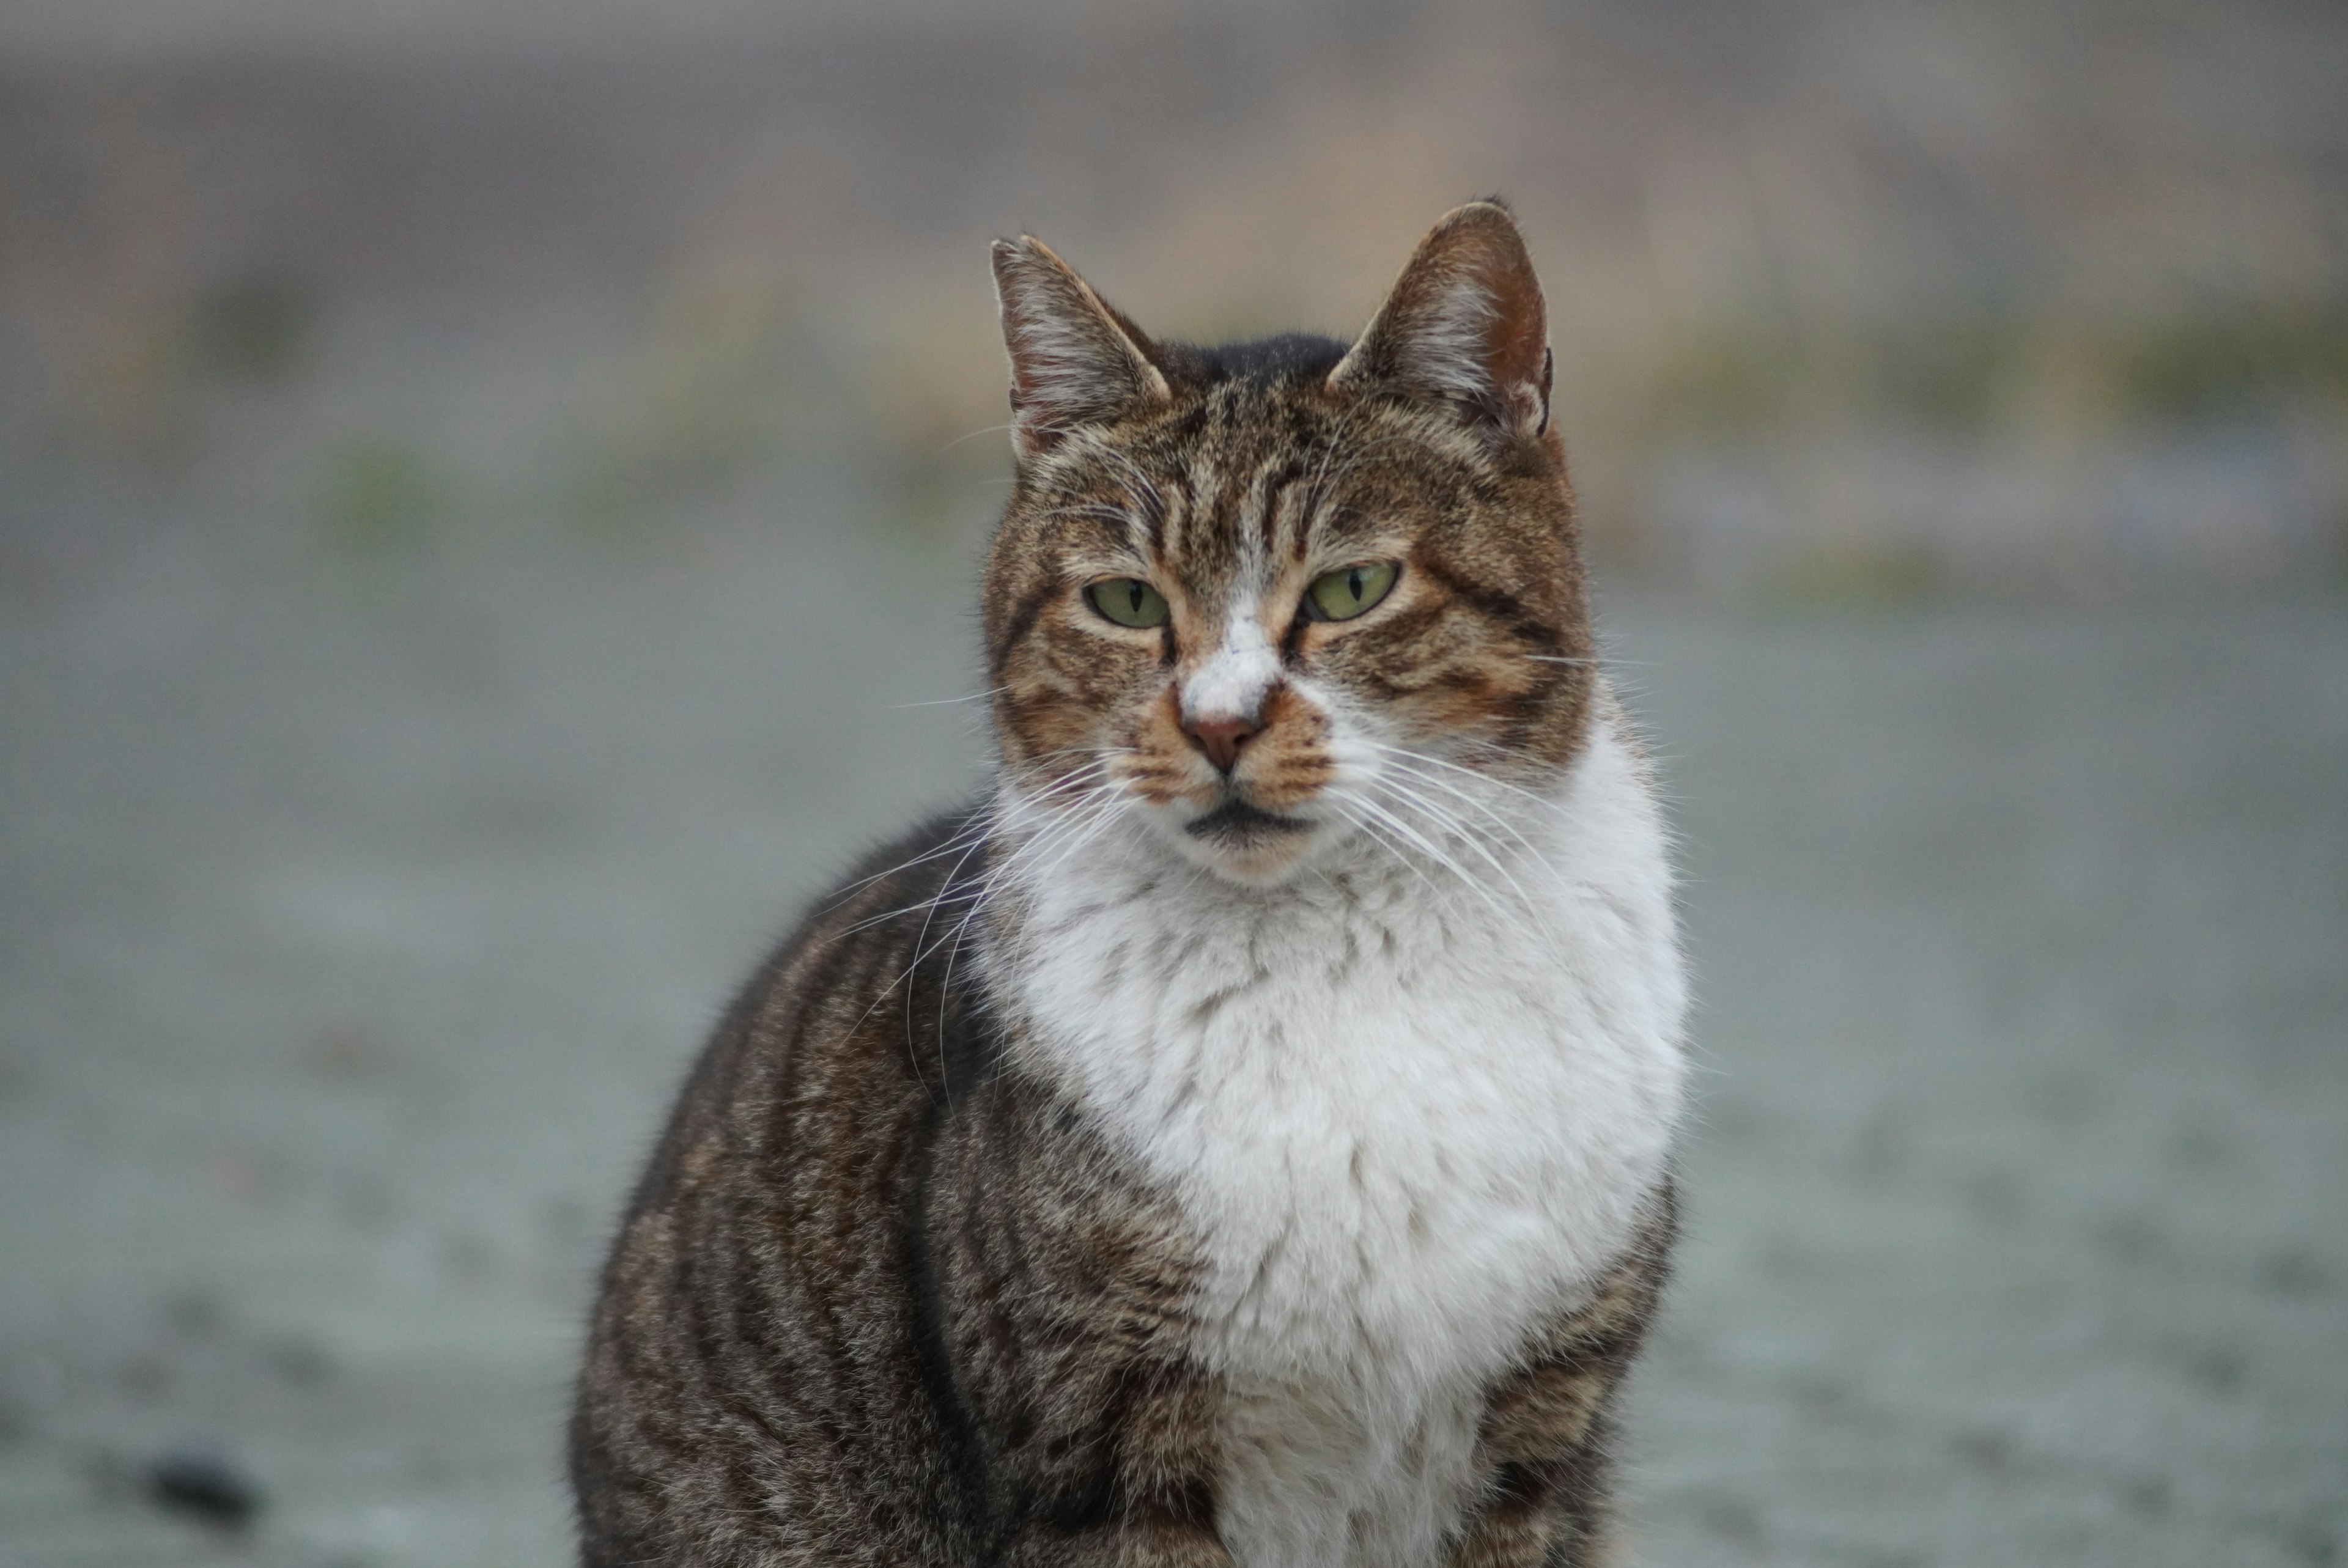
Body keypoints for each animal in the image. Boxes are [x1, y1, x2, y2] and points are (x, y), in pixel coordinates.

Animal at [568, 199, 1690, 1568]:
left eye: (1353, 588)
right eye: (1123, 602)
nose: (1218, 723)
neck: (1338, 956)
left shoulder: (1542, 1444)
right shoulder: (1099, 1453)